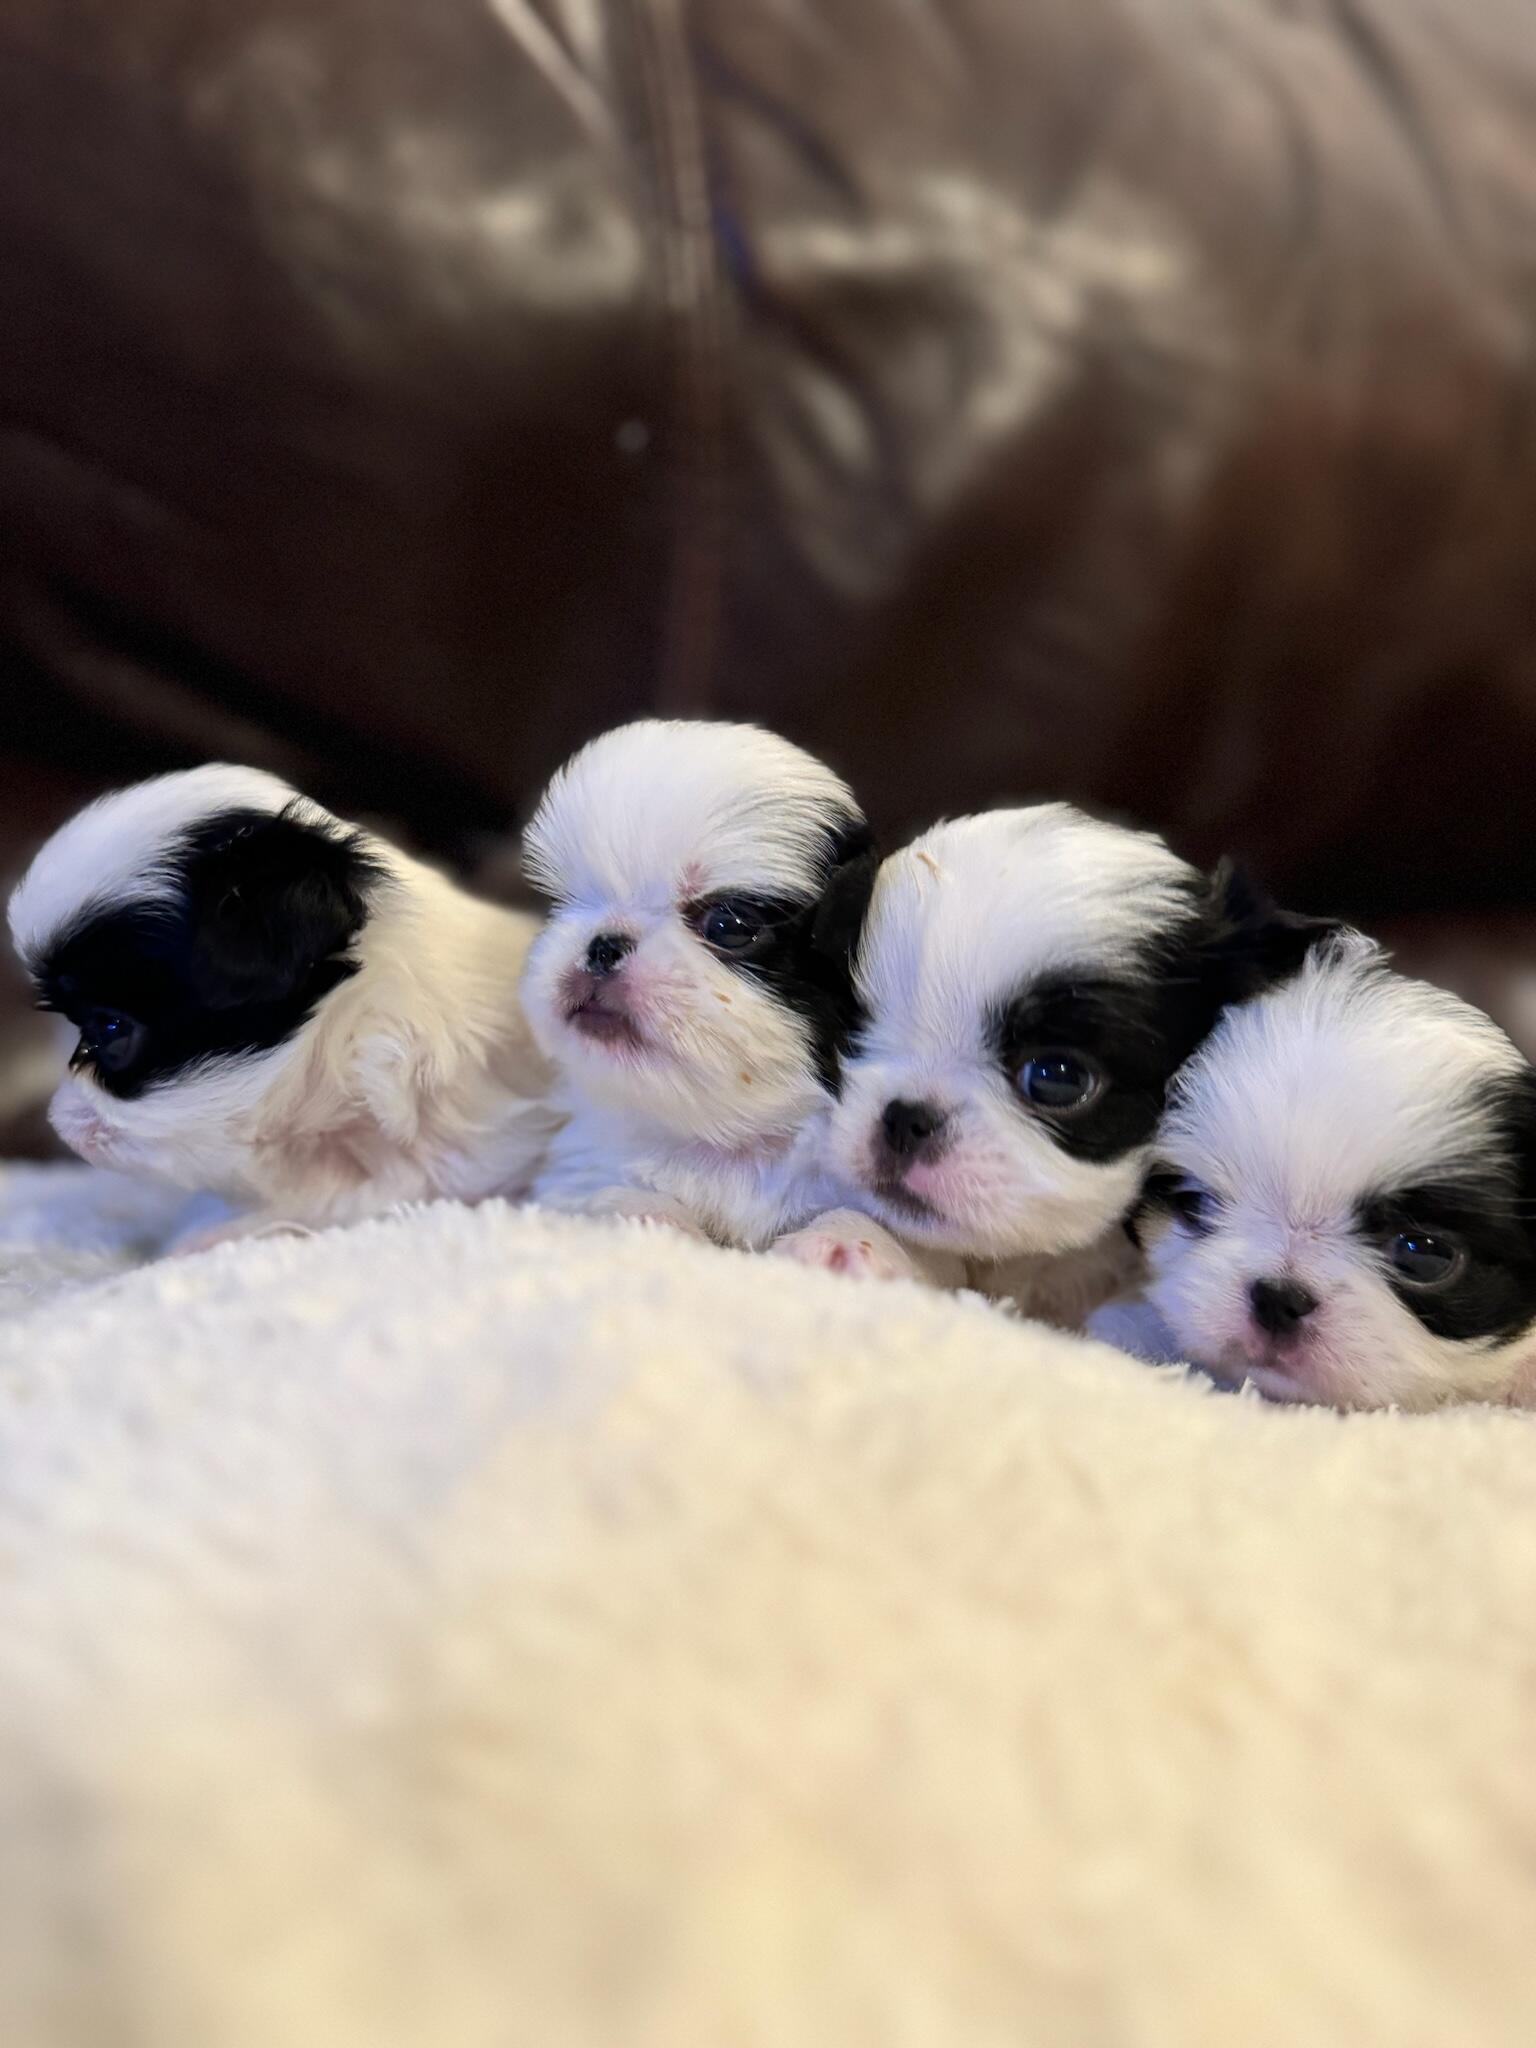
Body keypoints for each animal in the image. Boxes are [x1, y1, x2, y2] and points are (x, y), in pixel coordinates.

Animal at [520, 720, 872, 1245]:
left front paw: (848, 1243)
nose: (603, 945)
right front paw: (651, 1219)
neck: (725, 1145)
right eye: (563, 904)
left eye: (728, 925)